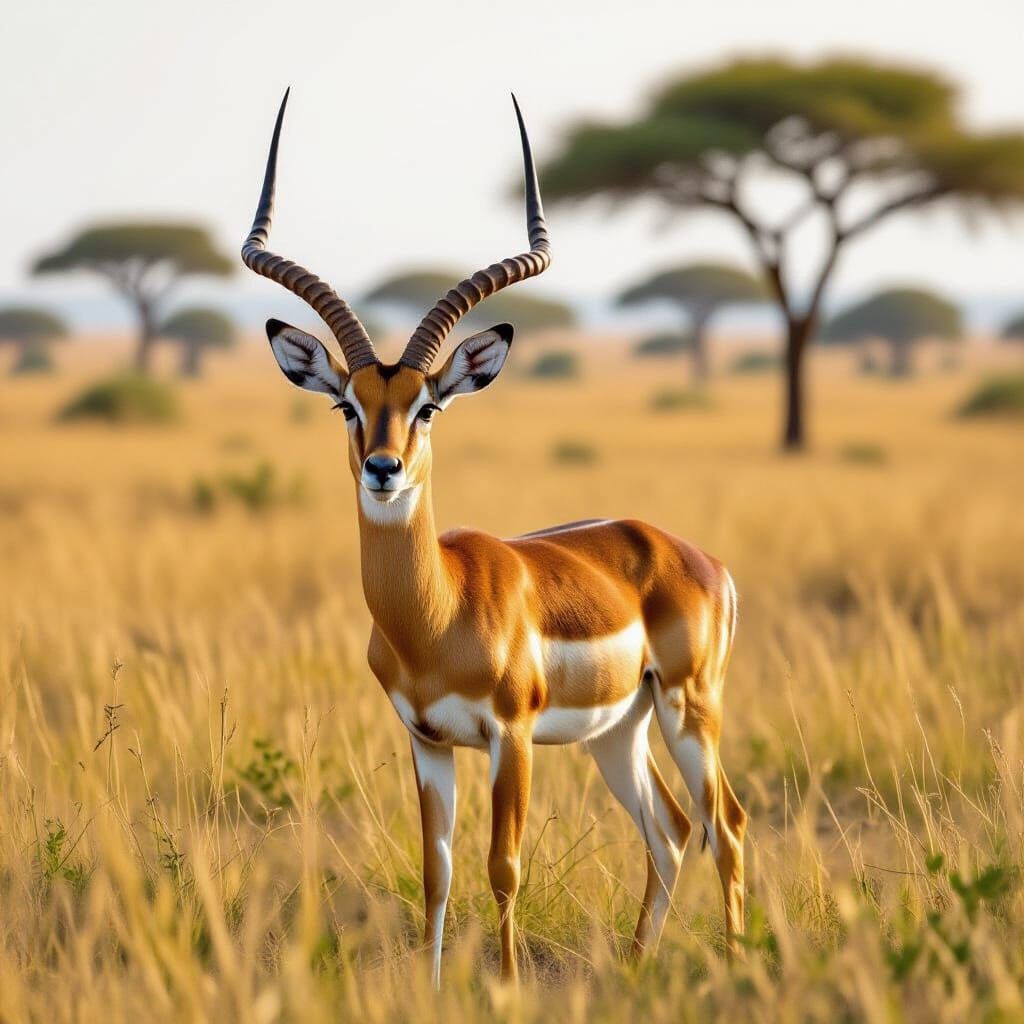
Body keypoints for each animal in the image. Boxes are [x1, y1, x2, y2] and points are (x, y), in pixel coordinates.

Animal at [241, 90, 746, 985]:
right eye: (346, 404)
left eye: (428, 406)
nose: (383, 468)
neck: (436, 614)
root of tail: (696, 558)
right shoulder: (426, 741)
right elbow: (436, 870)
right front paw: (435, 986)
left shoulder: (511, 738)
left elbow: (502, 867)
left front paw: (506, 987)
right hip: (620, 730)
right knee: (673, 830)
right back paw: (635, 968)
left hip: (691, 707)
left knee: (726, 825)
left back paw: (737, 965)